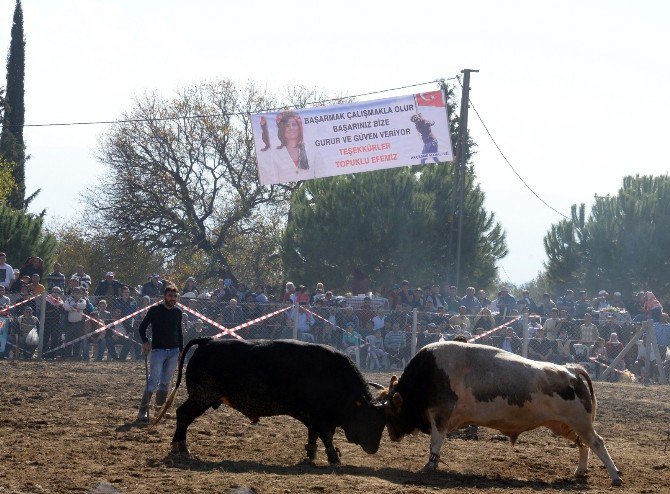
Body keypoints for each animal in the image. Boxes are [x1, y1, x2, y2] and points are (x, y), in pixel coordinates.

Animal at [150, 338, 386, 466]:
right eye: (371, 421)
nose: (374, 448)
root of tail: (208, 341)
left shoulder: (312, 417)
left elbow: (313, 435)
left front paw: (311, 453)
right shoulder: (321, 417)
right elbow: (326, 436)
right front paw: (334, 458)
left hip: (202, 398)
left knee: (183, 415)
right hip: (202, 397)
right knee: (183, 414)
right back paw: (181, 446)